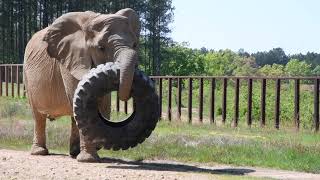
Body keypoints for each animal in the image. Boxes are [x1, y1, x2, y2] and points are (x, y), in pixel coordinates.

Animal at [22, 8, 159, 162]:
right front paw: (89, 159)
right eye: (101, 48)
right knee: (38, 116)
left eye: (135, 45)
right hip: (27, 75)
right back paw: (40, 152)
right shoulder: (71, 59)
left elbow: (103, 105)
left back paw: (74, 153)